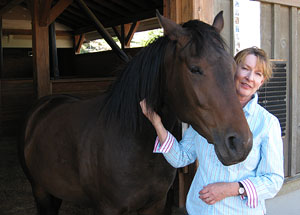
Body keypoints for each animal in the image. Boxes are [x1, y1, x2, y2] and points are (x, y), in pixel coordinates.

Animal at [18, 10, 252, 215]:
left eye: (233, 67)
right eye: (195, 69)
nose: (240, 144)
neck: (135, 142)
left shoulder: (154, 205)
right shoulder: (108, 209)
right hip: (40, 191)